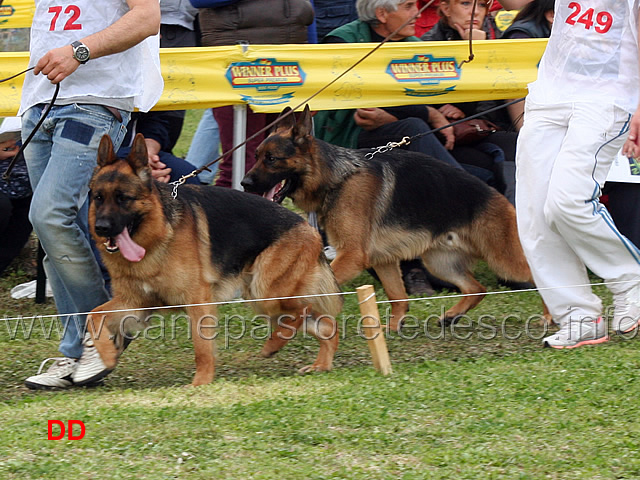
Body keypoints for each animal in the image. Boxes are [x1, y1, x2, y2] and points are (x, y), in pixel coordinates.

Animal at [87, 134, 344, 386]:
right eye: (98, 198)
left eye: (124, 198)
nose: (101, 228)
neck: (158, 233)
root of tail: (308, 227)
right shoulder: (136, 303)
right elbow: (94, 315)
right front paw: (107, 356)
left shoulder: (197, 301)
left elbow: (202, 349)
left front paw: (201, 383)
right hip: (262, 297)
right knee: (325, 324)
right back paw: (321, 364)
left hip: (265, 293)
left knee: (302, 310)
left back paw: (273, 345)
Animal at [242, 105, 548, 330]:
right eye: (256, 154)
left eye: (271, 159)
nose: (244, 184)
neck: (337, 178)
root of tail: (498, 195)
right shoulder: (383, 260)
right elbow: (398, 297)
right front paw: (389, 329)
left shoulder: (352, 255)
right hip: (440, 262)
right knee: (477, 288)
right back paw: (452, 315)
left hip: (503, 259)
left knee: (540, 276)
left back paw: (549, 317)